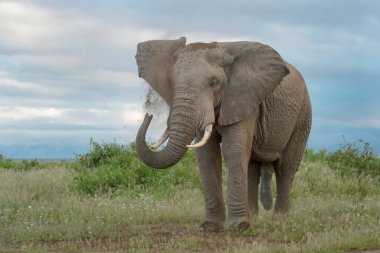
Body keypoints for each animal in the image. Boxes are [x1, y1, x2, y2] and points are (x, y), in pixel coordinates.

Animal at [134, 37, 312, 231]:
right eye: (171, 82)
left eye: (213, 83)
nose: (149, 115)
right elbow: (206, 155)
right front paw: (211, 227)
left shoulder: (243, 97)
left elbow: (233, 150)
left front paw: (239, 226)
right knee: (252, 167)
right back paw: (254, 217)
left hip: (303, 115)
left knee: (286, 166)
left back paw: (280, 219)